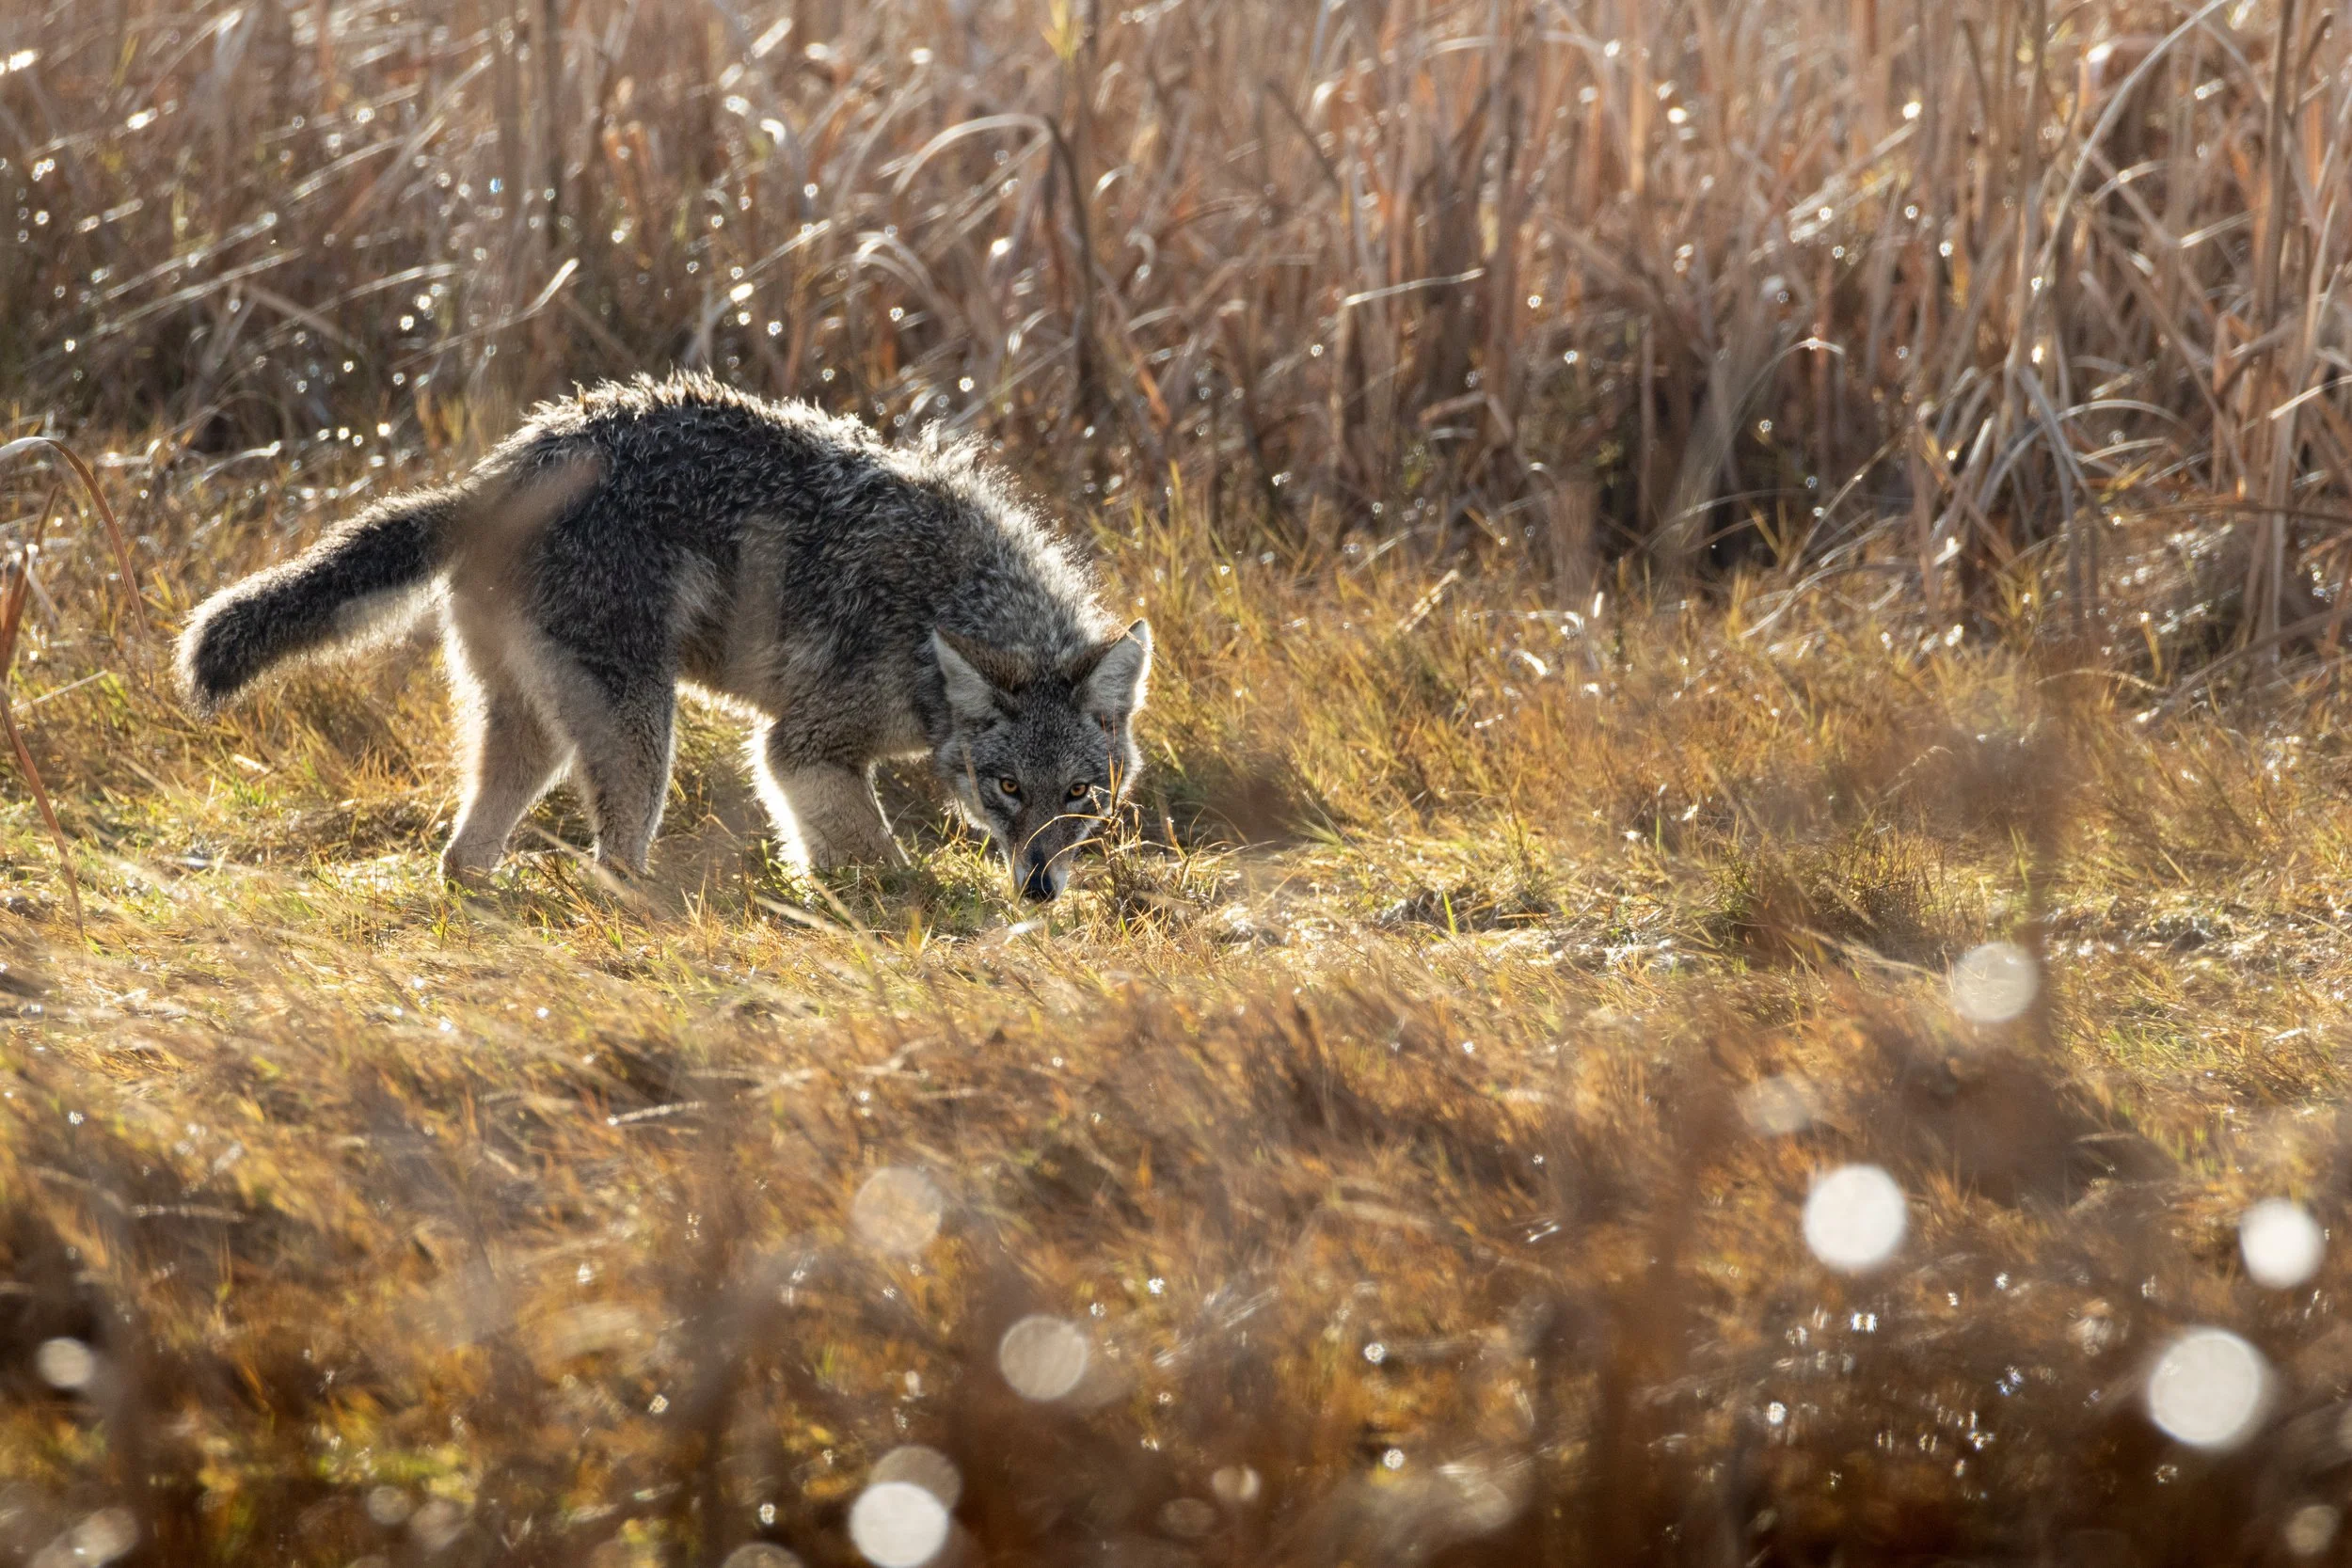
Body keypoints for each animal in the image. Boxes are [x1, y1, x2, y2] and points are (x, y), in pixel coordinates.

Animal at [177, 373, 1152, 902]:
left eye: (1080, 794)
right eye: (1006, 786)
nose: (1039, 888)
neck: (948, 600)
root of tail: (493, 479)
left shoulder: (811, 760)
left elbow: (828, 850)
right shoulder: (798, 747)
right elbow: (875, 849)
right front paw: (902, 895)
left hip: (536, 737)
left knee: (462, 856)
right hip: (643, 732)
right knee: (610, 861)